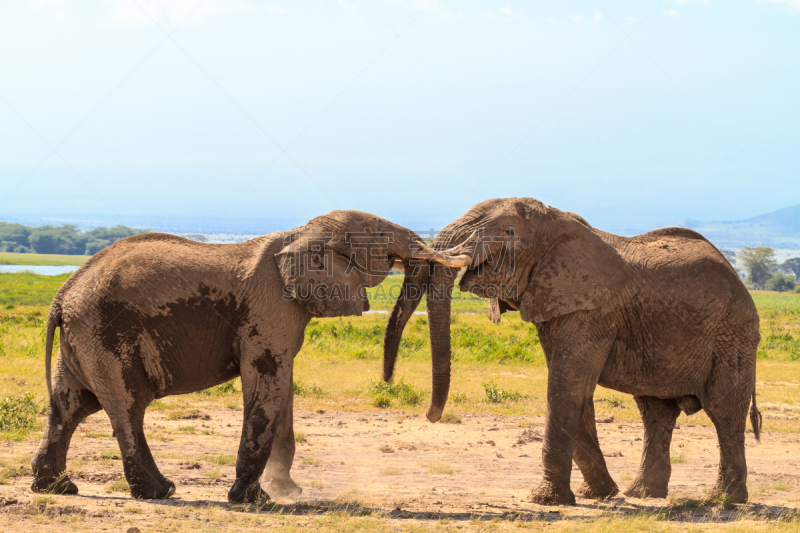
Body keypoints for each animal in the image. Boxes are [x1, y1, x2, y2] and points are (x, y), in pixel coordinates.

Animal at [31, 209, 454, 502]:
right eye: (380, 236)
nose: (387, 377)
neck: (300, 233)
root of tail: (62, 294)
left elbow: (282, 386)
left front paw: (287, 492)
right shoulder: (269, 307)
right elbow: (267, 382)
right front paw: (255, 500)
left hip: (82, 337)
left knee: (70, 405)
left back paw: (58, 488)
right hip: (105, 334)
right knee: (127, 407)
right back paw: (161, 492)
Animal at [384, 197, 764, 504]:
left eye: (508, 232)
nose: (430, 416)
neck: (557, 221)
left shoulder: (592, 308)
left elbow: (565, 385)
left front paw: (546, 501)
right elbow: (577, 389)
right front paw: (598, 495)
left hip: (733, 336)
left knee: (724, 411)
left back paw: (724, 500)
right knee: (656, 413)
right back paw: (642, 494)